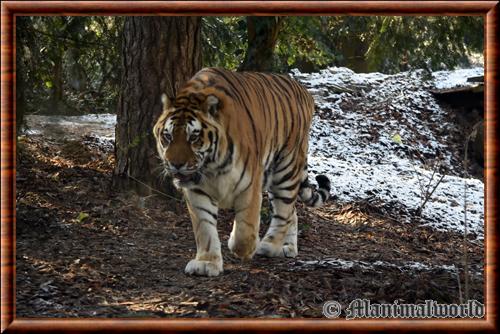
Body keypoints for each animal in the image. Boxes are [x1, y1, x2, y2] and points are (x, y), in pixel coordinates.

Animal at [152, 67, 332, 276]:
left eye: (194, 137)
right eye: (168, 136)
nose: (176, 164)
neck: (211, 167)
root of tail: (304, 91)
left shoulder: (250, 185)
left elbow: (245, 231)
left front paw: (238, 244)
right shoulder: (197, 191)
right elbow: (204, 228)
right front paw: (206, 263)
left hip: (286, 168)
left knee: (284, 210)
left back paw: (269, 246)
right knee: (292, 212)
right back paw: (287, 247)